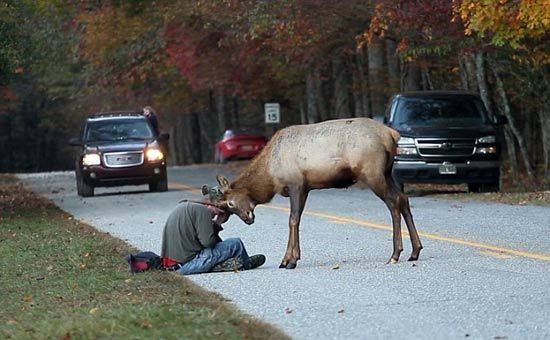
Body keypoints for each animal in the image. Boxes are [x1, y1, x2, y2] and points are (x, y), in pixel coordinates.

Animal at [213, 117, 424, 268]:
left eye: (230, 203)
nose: (248, 219)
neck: (270, 176)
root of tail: (391, 134)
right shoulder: (305, 188)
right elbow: (297, 220)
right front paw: (289, 258)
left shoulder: (296, 184)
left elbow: (292, 220)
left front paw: (289, 260)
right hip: (387, 173)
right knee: (404, 199)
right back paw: (415, 251)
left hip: (373, 173)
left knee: (393, 202)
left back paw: (395, 254)